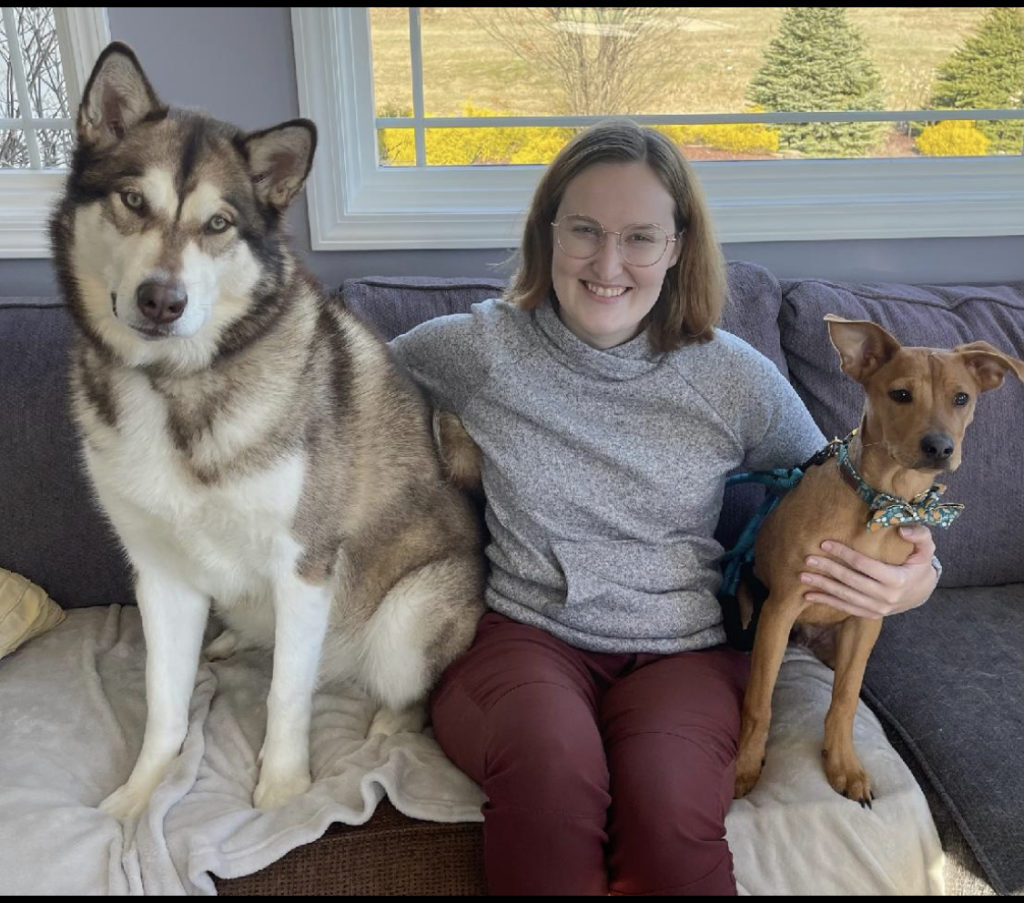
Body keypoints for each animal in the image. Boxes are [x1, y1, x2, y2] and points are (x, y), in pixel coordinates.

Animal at [50, 42, 486, 816]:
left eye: (218, 224)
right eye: (133, 201)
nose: (161, 300)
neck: (176, 387)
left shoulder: (303, 564)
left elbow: (287, 693)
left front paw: (284, 787)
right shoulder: (158, 574)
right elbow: (164, 703)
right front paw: (140, 792)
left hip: (406, 621)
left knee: (400, 686)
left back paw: (386, 719)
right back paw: (228, 645)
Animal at [732, 314, 1024, 804]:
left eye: (961, 398)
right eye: (901, 394)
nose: (939, 447)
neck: (884, 502)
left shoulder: (866, 616)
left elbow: (845, 700)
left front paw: (843, 764)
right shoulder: (781, 608)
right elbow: (759, 701)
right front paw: (744, 768)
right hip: (752, 606)